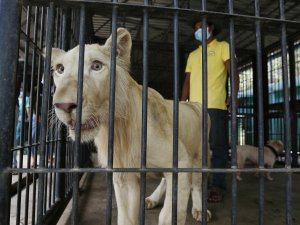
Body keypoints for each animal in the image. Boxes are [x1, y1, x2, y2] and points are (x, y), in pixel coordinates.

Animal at [49, 27, 211, 224]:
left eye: (97, 66)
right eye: (60, 69)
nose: (64, 105)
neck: (117, 128)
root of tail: (195, 104)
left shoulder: (180, 162)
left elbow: (169, 215)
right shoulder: (124, 176)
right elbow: (126, 218)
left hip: (200, 155)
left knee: (197, 183)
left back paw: (200, 209)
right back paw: (152, 199)